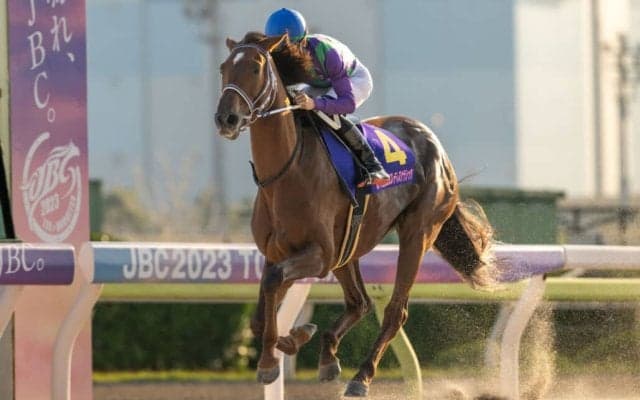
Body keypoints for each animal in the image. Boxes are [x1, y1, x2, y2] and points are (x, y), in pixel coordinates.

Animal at [215, 31, 497, 397]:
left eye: (255, 66)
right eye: (223, 68)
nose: (226, 119)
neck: (286, 172)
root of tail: (435, 145)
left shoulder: (320, 254)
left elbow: (275, 282)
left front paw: (271, 358)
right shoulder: (276, 251)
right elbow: (260, 310)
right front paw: (292, 339)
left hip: (417, 234)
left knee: (394, 311)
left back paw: (360, 377)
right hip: (351, 245)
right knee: (359, 301)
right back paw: (327, 355)